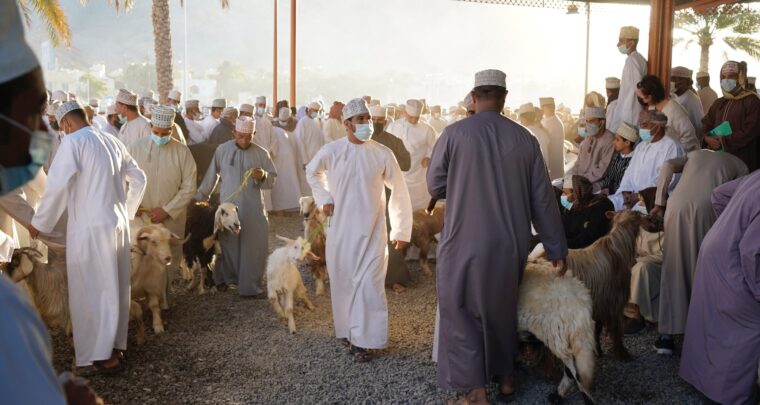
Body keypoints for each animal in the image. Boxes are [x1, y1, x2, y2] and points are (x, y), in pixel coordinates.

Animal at [560, 210, 644, 358]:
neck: (618, 250)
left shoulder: (599, 304)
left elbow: (597, 329)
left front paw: (598, 350)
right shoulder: (614, 302)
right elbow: (616, 329)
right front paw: (622, 353)